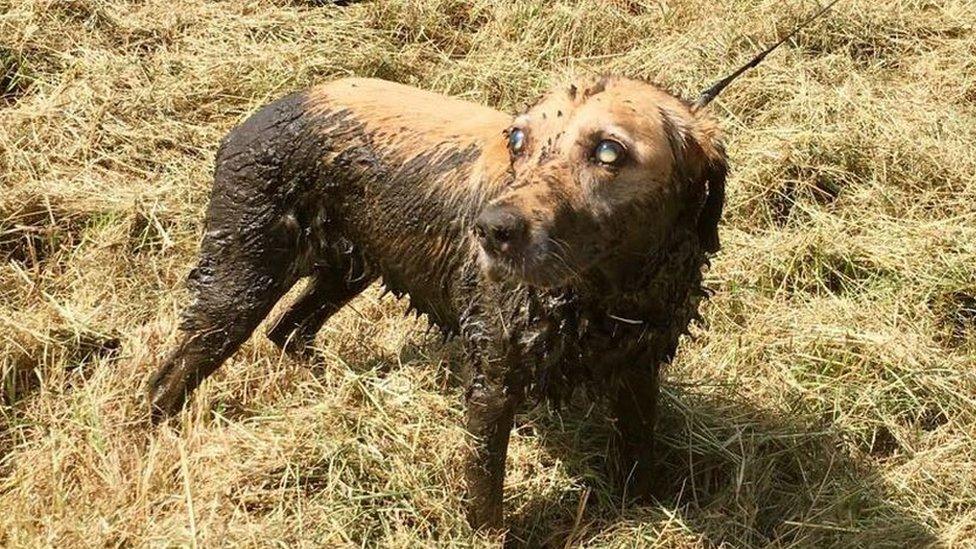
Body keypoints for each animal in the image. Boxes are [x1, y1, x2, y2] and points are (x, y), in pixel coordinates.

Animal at [149, 3, 836, 528]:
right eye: (518, 140)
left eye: (608, 151)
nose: (491, 230)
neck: (604, 295)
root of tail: (260, 113)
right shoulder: (495, 380)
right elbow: (485, 493)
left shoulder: (639, 367)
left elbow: (640, 455)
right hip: (240, 276)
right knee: (175, 370)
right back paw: (150, 433)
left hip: (349, 268)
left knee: (288, 330)